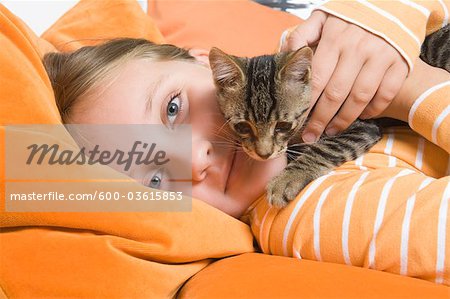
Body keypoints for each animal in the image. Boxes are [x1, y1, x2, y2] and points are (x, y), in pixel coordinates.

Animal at [209, 47, 382, 209]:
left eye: (283, 125)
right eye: (242, 126)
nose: (264, 155)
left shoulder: (361, 125)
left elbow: (326, 148)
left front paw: (288, 178)